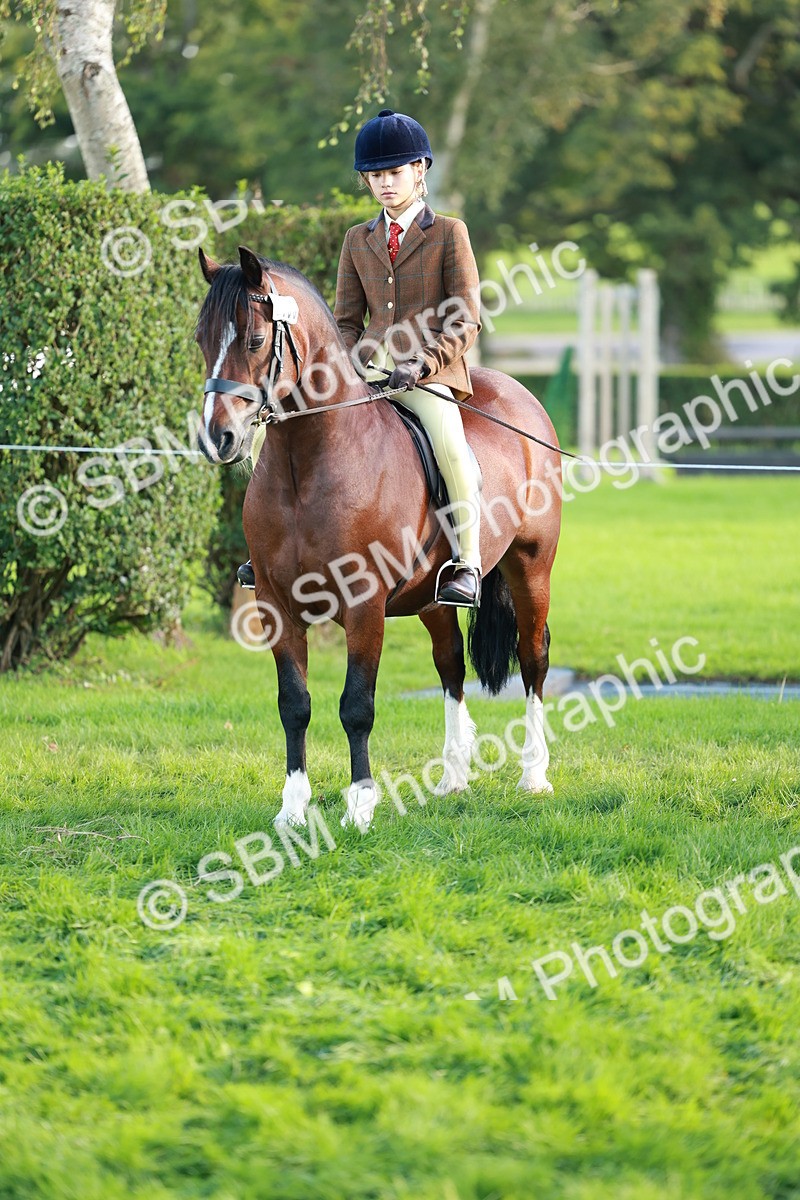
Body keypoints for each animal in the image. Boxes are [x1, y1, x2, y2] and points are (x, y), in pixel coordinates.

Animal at [195, 245, 562, 830]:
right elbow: (293, 704)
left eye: (253, 340)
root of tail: (519, 394)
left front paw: (360, 806)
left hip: (532, 567)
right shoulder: (275, 604)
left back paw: (534, 775)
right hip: (434, 597)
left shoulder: (363, 604)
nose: (218, 438)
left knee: (533, 659)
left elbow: (356, 706)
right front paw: (292, 809)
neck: (307, 464)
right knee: (450, 663)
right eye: (201, 339)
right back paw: (453, 778)